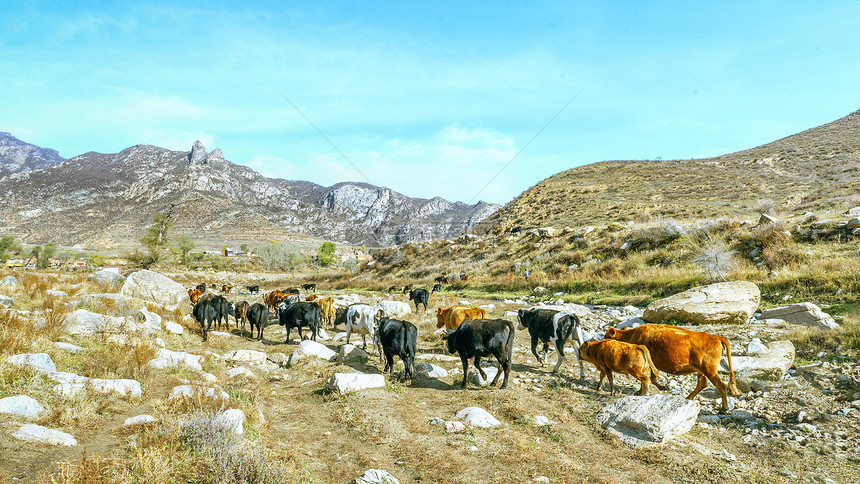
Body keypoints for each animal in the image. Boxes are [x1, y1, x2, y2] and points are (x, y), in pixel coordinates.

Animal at [604, 324, 740, 410]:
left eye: (607, 338)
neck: (632, 335)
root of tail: (716, 337)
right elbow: (651, 378)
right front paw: (657, 388)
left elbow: (648, 378)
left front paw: (643, 391)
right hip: (701, 370)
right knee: (702, 383)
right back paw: (688, 398)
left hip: (709, 370)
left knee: (721, 385)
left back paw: (724, 408)